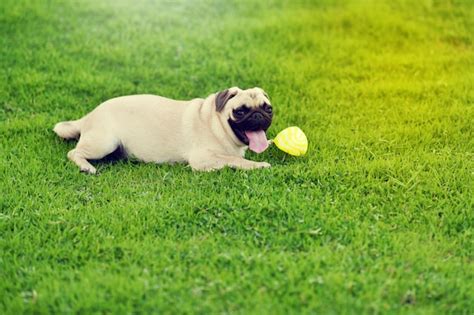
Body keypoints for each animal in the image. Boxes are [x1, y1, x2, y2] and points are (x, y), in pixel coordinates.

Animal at [53, 86, 272, 174]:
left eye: (268, 108)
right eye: (240, 111)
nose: (258, 115)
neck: (216, 123)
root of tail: (89, 115)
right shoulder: (203, 159)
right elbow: (236, 160)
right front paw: (258, 165)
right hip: (104, 143)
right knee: (73, 152)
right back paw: (86, 167)